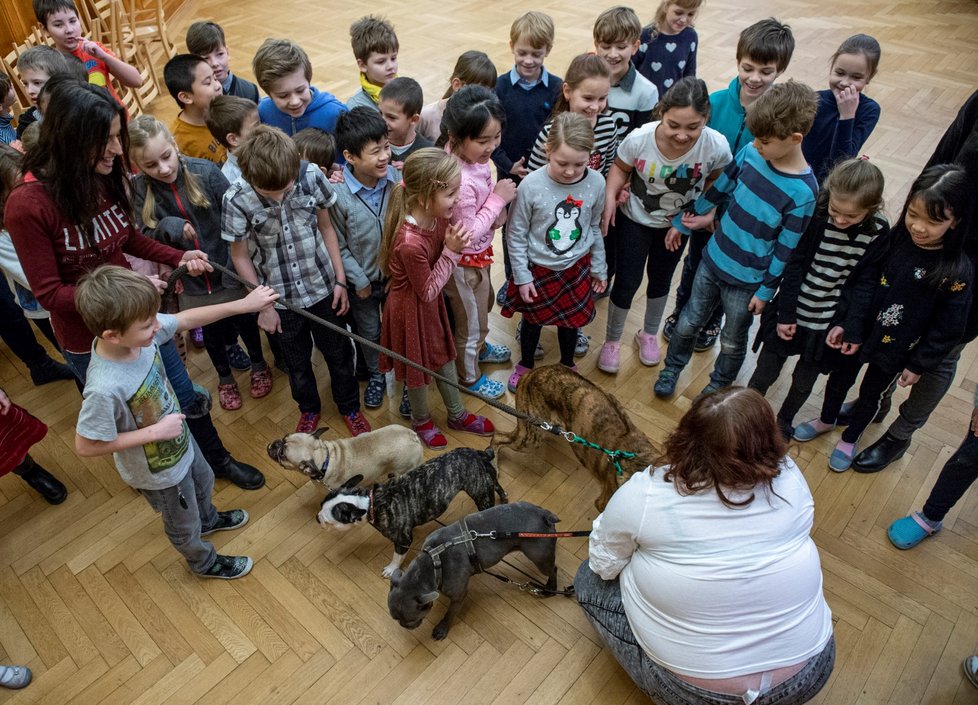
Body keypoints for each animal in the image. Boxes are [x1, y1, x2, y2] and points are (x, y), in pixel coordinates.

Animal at [386, 500, 556, 640]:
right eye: (396, 619)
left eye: (410, 619)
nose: (404, 626)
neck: (434, 562)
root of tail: (544, 514)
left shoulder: (458, 596)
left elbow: (450, 612)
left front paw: (442, 628)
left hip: (540, 557)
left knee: (553, 569)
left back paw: (550, 589)